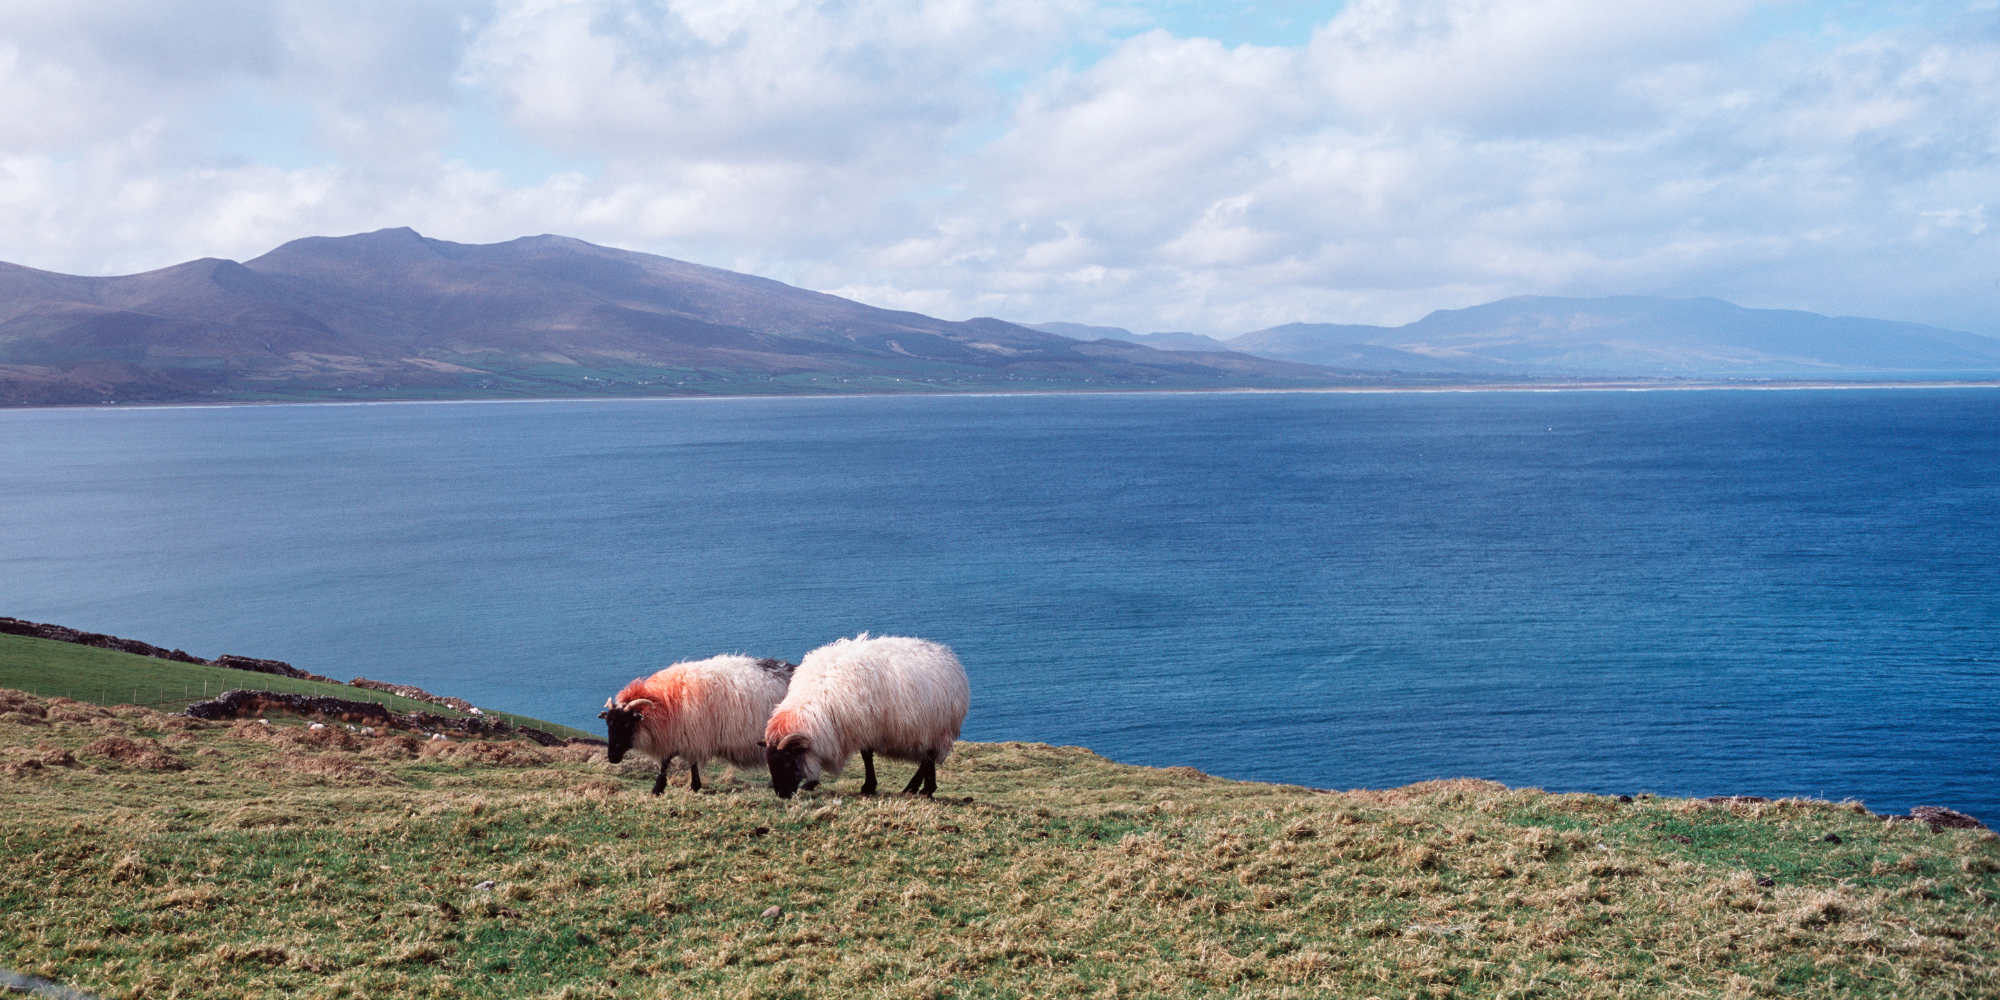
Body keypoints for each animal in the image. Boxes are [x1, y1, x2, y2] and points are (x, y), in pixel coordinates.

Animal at [600, 656, 796, 796]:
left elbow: (671, 762)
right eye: (608, 723)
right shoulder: (684, 736)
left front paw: (661, 788)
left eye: (626, 723)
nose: (612, 757)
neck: (664, 704)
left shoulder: (693, 735)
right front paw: (687, 786)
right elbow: (677, 761)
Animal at [756, 636, 968, 800]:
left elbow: (867, 756)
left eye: (788, 761)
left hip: (935, 727)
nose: (781, 794)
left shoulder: (865, 726)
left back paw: (925, 790)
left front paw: (868, 787)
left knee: (929, 758)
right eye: (769, 763)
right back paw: (912, 788)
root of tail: (948, 657)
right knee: (926, 760)